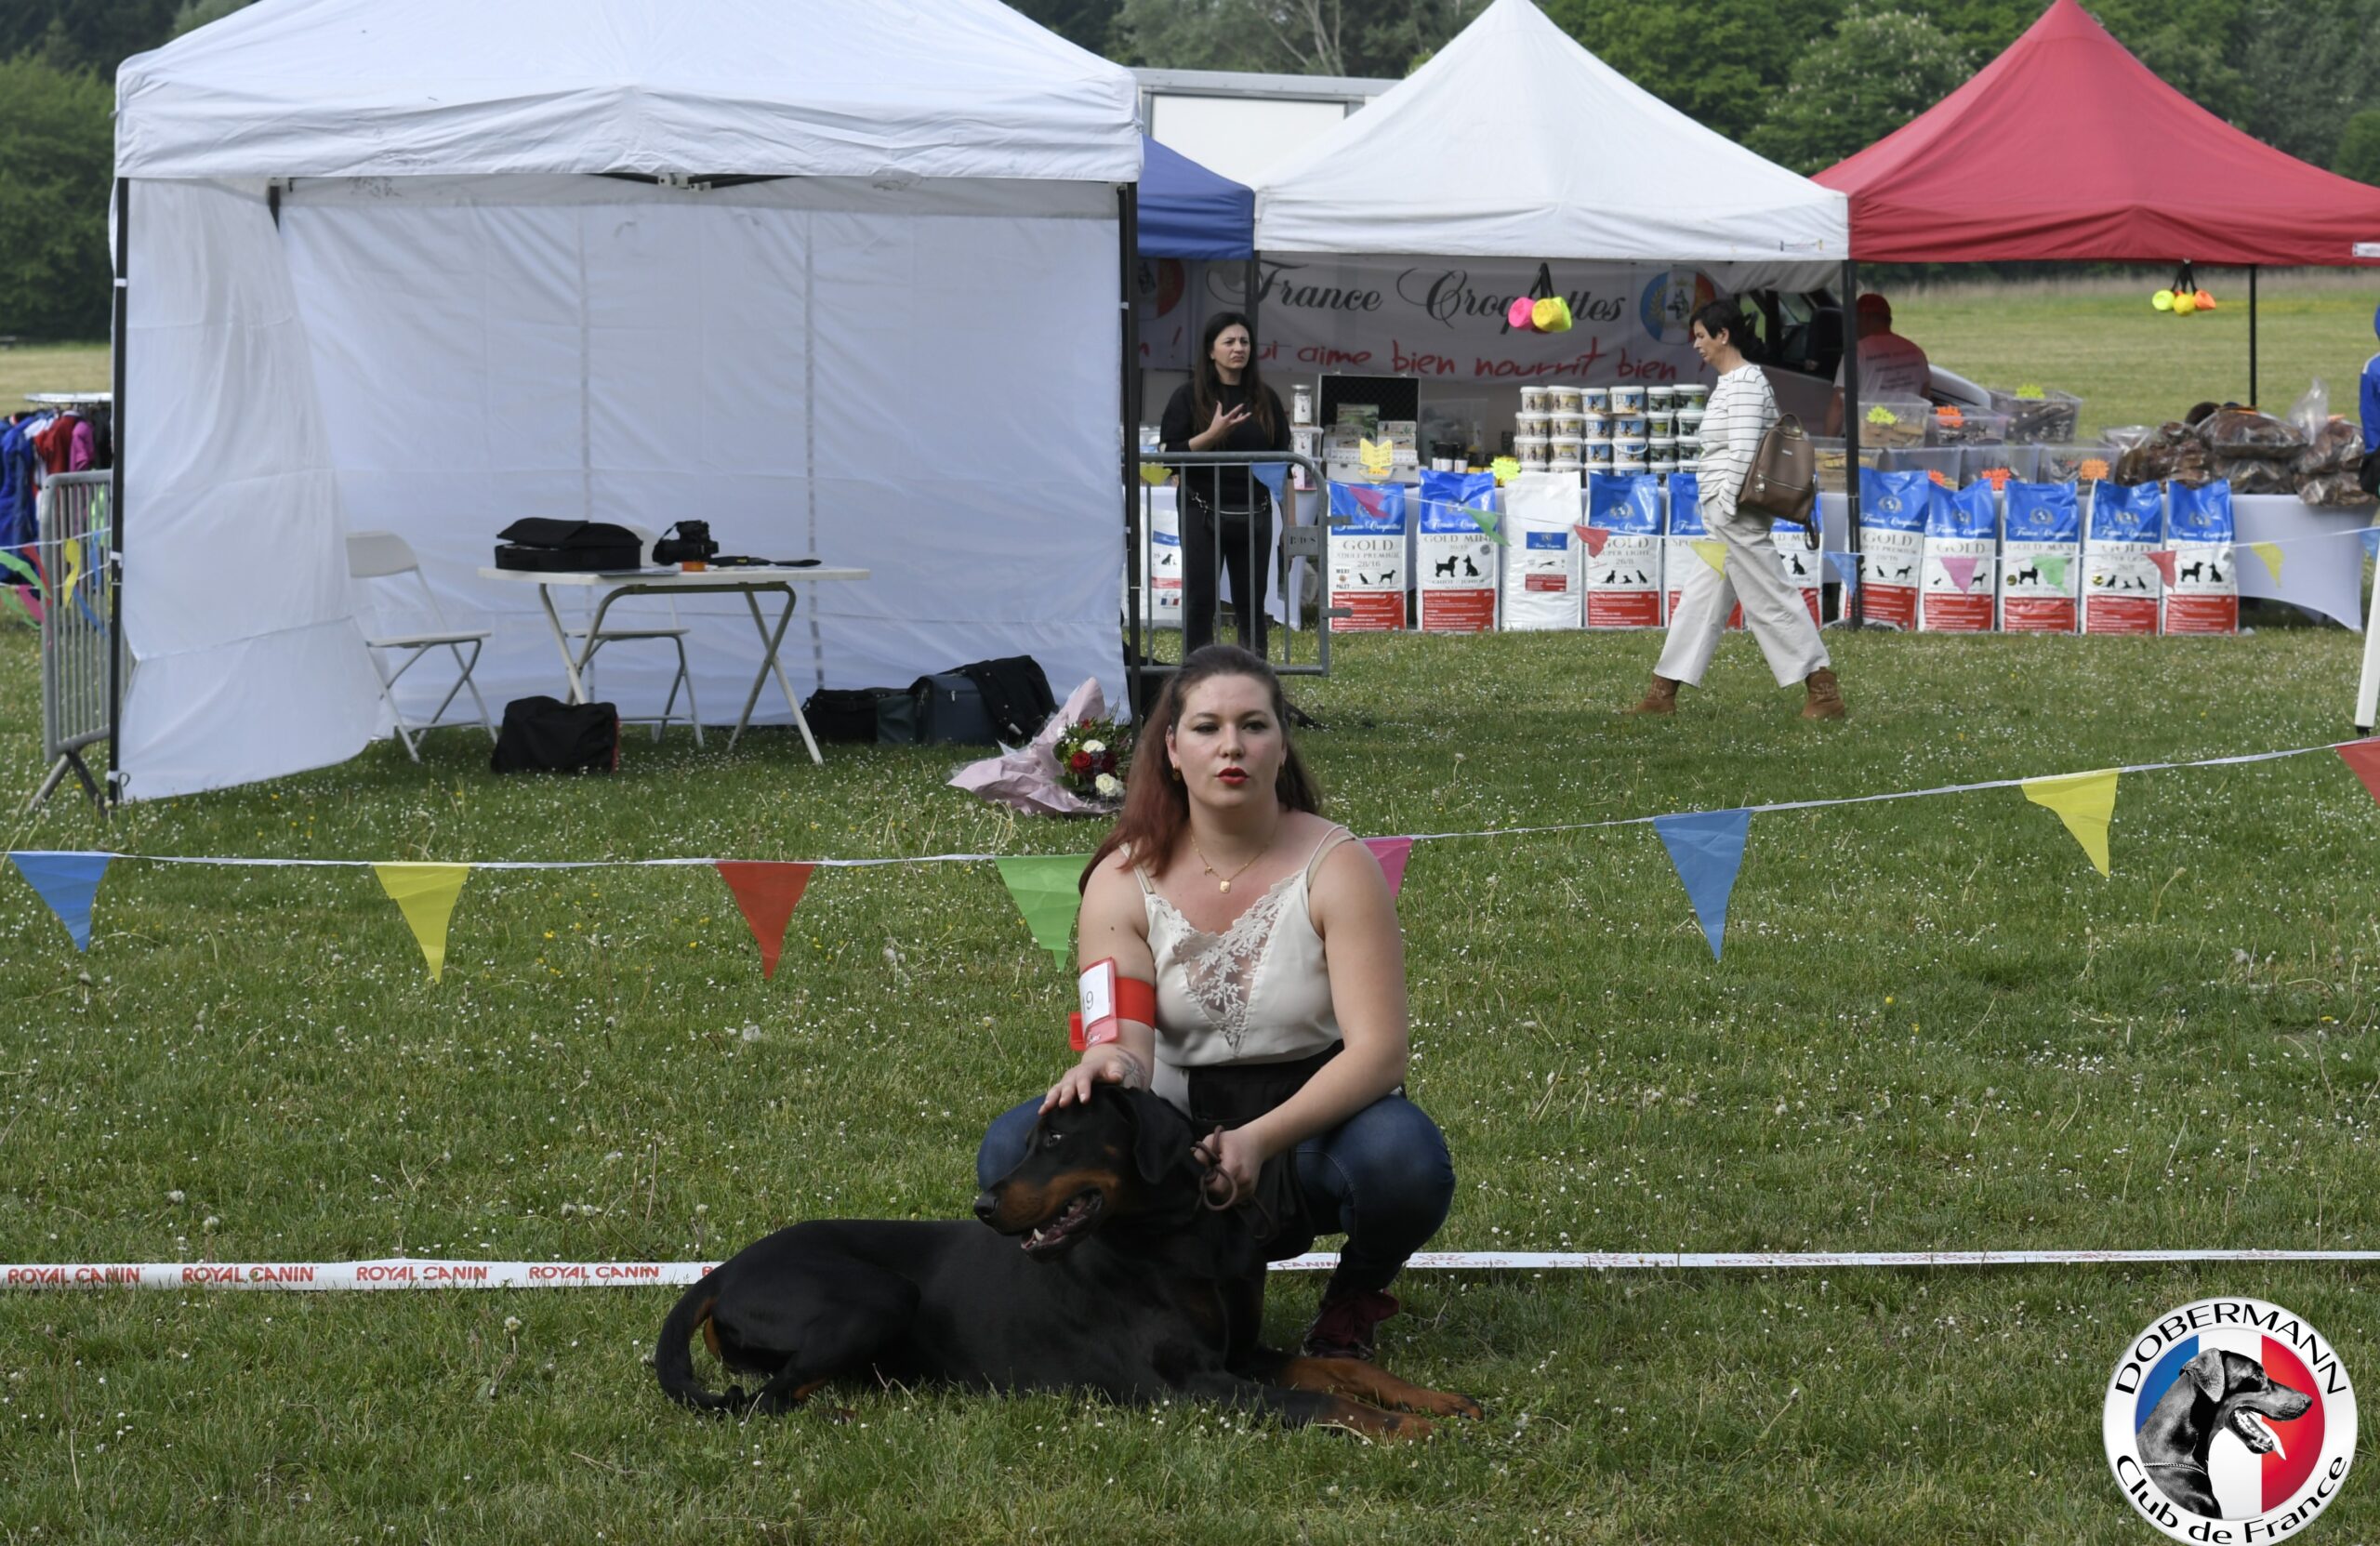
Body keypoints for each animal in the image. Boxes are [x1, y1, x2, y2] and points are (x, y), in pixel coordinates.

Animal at [654, 1085, 1481, 1439]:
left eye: (1055, 1139)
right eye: (1031, 1138)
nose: (984, 1206)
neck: (1182, 1236)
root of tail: (721, 1271)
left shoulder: (1237, 1354)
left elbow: (1338, 1370)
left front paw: (1434, 1399)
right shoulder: (1191, 1384)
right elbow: (1318, 1402)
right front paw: (1411, 1431)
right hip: (877, 1295)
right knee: (765, 1400)